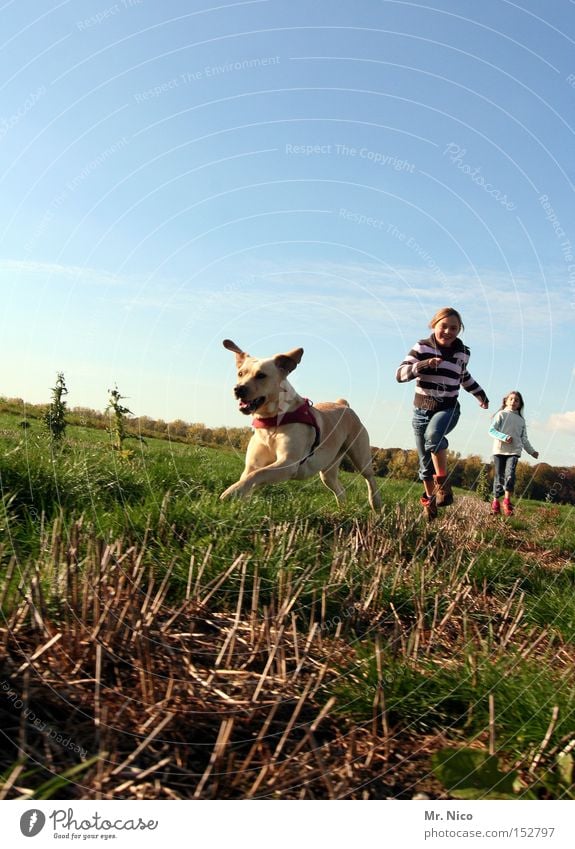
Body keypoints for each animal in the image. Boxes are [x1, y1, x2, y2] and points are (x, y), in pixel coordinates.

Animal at [220, 340, 382, 510]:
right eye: (240, 373)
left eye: (261, 375)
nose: (238, 389)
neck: (272, 421)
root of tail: (344, 405)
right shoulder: (253, 464)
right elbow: (248, 477)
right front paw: (238, 503)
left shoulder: (288, 463)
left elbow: (258, 474)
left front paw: (230, 493)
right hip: (328, 470)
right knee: (340, 490)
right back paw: (342, 510)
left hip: (360, 456)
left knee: (370, 478)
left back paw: (376, 503)